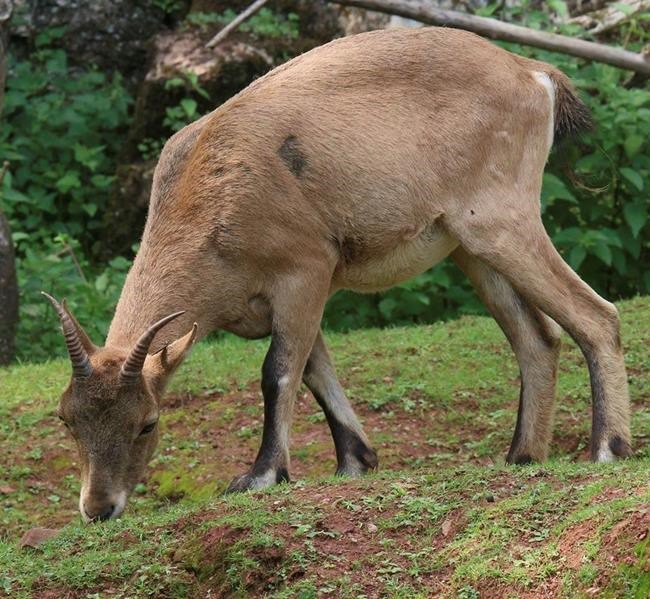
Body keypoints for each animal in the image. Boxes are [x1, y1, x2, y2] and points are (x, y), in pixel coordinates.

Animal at [45, 27, 632, 523]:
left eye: (147, 421)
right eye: (67, 418)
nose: (99, 509)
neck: (211, 193)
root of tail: (532, 73)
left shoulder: (304, 271)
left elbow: (278, 372)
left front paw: (262, 475)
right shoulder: (281, 303)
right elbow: (314, 368)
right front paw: (355, 460)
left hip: (499, 221)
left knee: (596, 315)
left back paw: (607, 449)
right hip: (470, 248)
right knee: (537, 338)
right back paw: (521, 456)